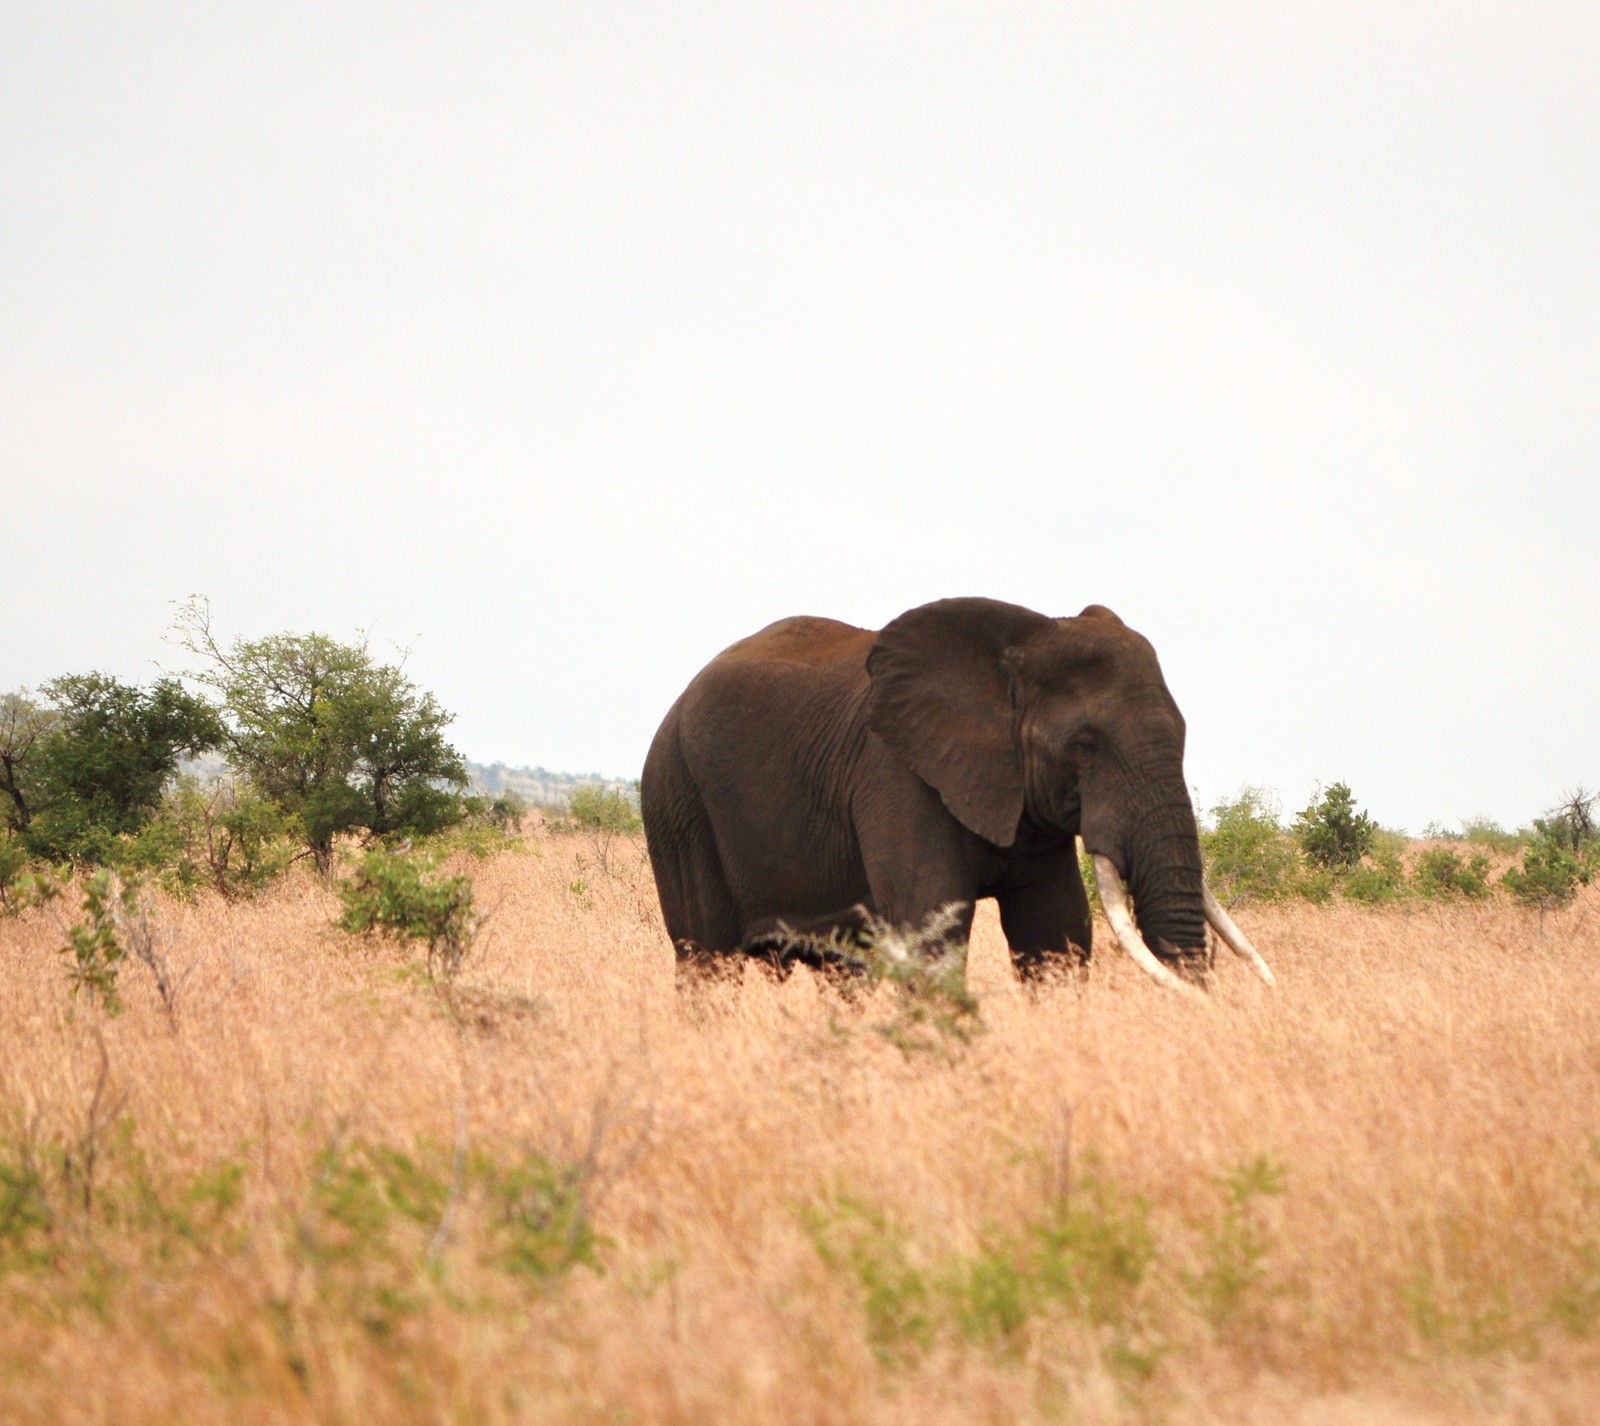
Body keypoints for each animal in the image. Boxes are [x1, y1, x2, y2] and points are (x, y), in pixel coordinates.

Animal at [636, 595, 1273, 998]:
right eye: (1085, 746)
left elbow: (1055, 932)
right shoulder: (895, 773)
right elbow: (931, 929)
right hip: (676, 800)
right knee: (707, 961)